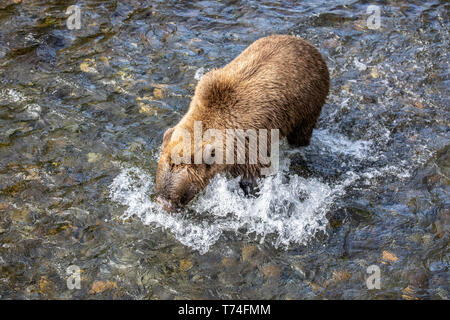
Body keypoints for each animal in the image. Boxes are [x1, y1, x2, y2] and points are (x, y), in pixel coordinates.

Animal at [156, 34, 330, 210]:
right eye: (159, 181)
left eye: (180, 194)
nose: (163, 202)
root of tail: (308, 45)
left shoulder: (249, 143)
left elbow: (253, 175)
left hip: (308, 102)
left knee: (301, 133)